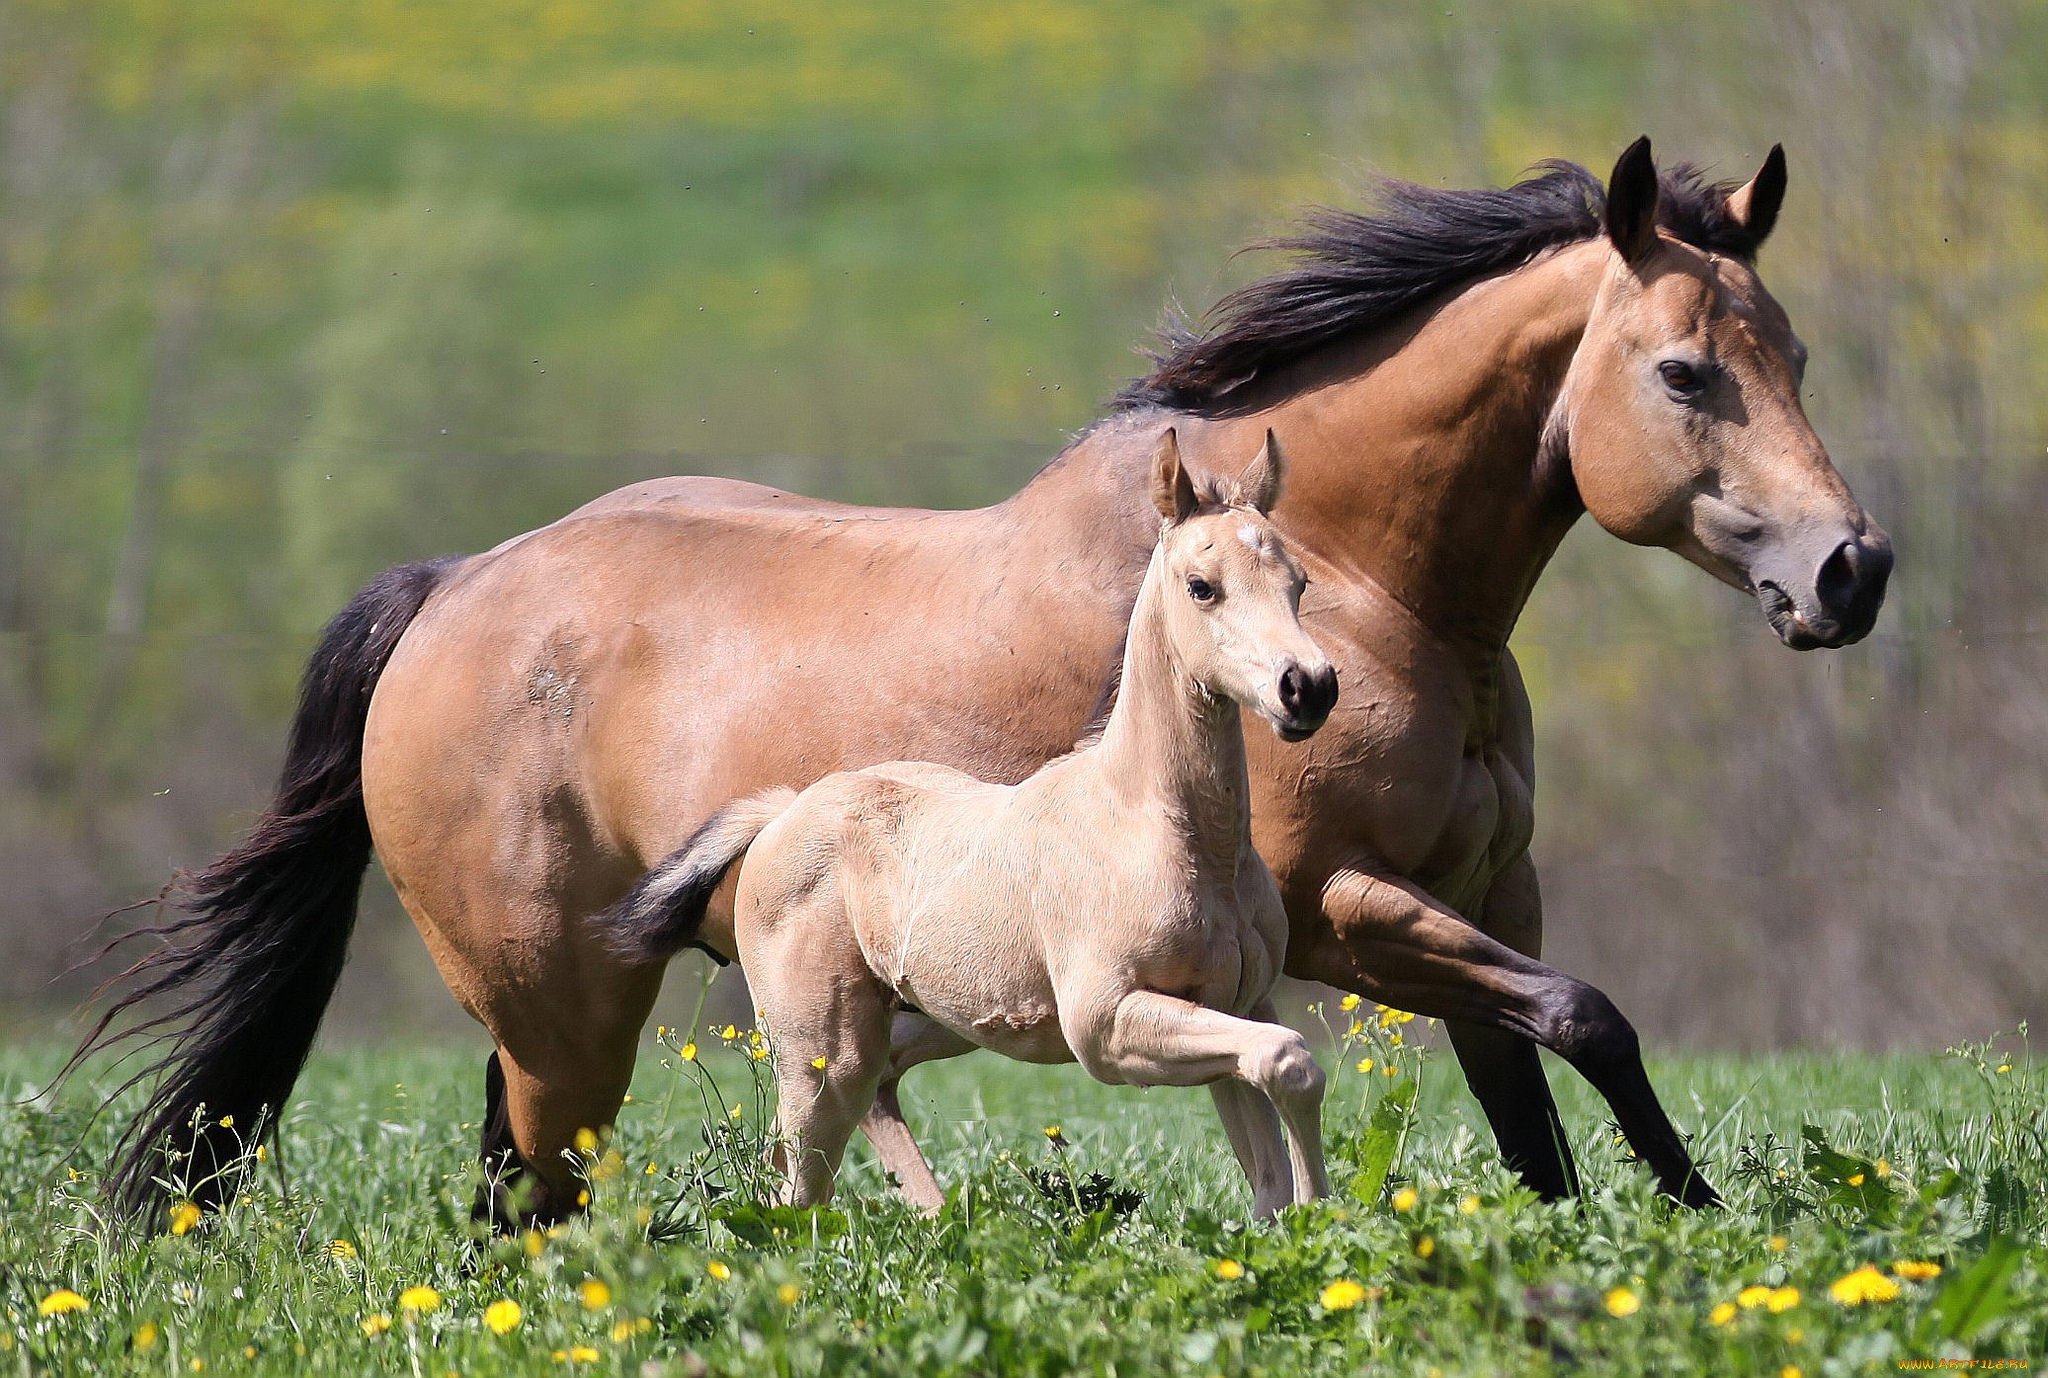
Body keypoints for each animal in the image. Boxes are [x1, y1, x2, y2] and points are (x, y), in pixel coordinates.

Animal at [606, 429, 1343, 1212]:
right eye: (1203, 586)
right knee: (797, 1185)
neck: (1162, 832)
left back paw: (936, 1213)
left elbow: (1271, 1134)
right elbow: (1291, 1062)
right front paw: (1319, 1215)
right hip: (821, 1052)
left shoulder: (1239, 1001)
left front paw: (1297, 1217)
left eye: (1298, 582)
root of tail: (784, 811)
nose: (1307, 687)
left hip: (925, 1020)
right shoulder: (1107, 1026)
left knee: (868, 1100)